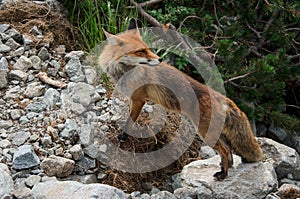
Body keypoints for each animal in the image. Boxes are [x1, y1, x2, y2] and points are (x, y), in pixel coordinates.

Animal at [98, 19, 262, 180]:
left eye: (147, 48)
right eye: (141, 51)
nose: (160, 59)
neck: (125, 72)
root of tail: (222, 98)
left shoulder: (139, 99)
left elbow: (129, 121)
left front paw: (123, 136)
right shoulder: (133, 99)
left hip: (205, 133)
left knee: (225, 150)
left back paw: (223, 174)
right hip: (216, 132)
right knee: (229, 149)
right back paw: (226, 168)